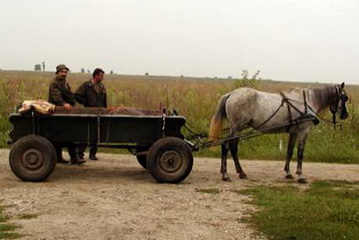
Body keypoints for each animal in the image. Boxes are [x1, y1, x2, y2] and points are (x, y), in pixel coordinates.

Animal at [210, 82, 350, 184]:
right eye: (344, 98)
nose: (345, 115)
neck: (308, 101)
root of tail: (231, 94)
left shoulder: (294, 133)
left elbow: (289, 151)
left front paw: (288, 173)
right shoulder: (303, 132)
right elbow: (300, 154)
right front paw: (301, 176)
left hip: (237, 129)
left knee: (230, 147)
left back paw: (236, 172)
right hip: (236, 128)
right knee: (228, 146)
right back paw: (228, 174)